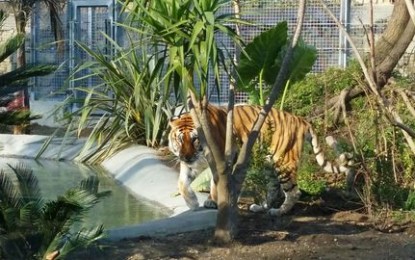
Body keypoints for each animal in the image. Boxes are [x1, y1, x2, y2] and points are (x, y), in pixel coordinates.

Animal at [169, 103, 354, 215]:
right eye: (180, 140)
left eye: (195, 139)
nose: (185, 156)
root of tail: (300, 120)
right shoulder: (190, 165)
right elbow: (181, 182)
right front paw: (192, 203)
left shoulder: (224, 160)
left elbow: (217, 184)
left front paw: (214, 202)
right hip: (268, 165)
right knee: (274, 188)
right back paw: (261, 207)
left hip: (283, 163)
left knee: (293, 192)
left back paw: (279, 211)